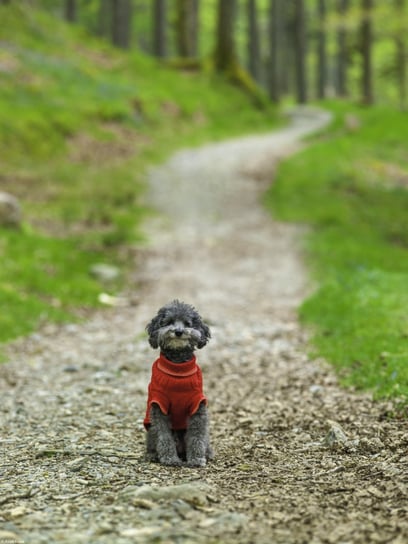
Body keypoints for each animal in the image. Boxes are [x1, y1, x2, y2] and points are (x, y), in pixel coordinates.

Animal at [143, 300, 214, 466]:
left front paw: (196, 459)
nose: (179, 331)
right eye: (169, 322)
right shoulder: (159, 406)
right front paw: (169, 458)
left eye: (187, 323)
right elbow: (164, 436)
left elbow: (197, 436)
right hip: (151, 431)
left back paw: (207, 453)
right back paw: (152, 455)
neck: (178, 369)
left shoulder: (197, 406)